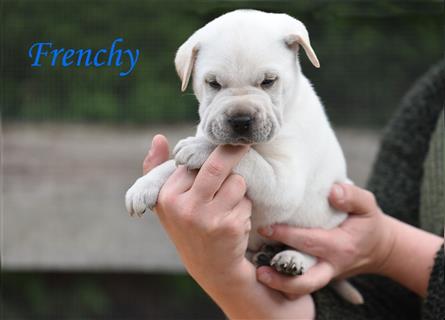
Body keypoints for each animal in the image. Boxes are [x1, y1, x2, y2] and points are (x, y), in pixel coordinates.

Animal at [126, 9, 362, 304]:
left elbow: (243, 155)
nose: (241, 120)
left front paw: (200, 149)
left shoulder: (283, 183)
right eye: (213, 83)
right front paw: (143, 186)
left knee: (316, 249)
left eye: (268, 81)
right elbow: (173, 164)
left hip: (326, 219)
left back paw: (292, 259)